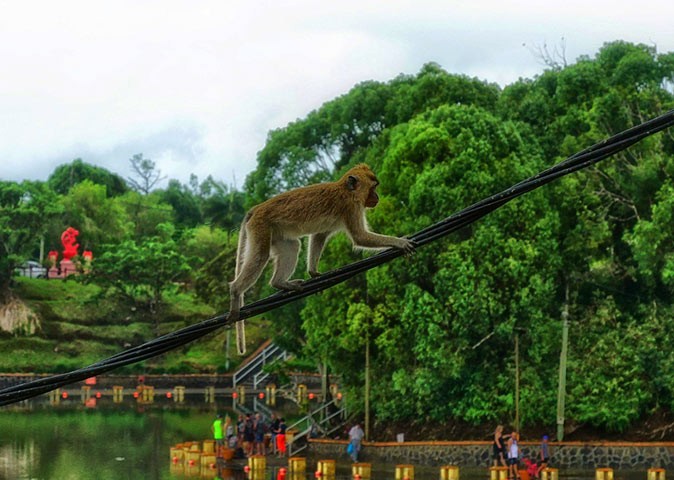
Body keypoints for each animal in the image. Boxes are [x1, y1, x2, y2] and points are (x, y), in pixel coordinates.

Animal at [228, 163, 415, 328]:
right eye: (373, 188)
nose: (377, 197)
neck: (347, 191)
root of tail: (256, 209)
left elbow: (319, 236)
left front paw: (314, 273)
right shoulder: (350, 207)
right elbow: (360, 238)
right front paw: (399, 242)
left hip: (275, 233)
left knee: (292, 247)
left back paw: (280, 283)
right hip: (261, 227)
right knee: (261, 256)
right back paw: (236, 292)